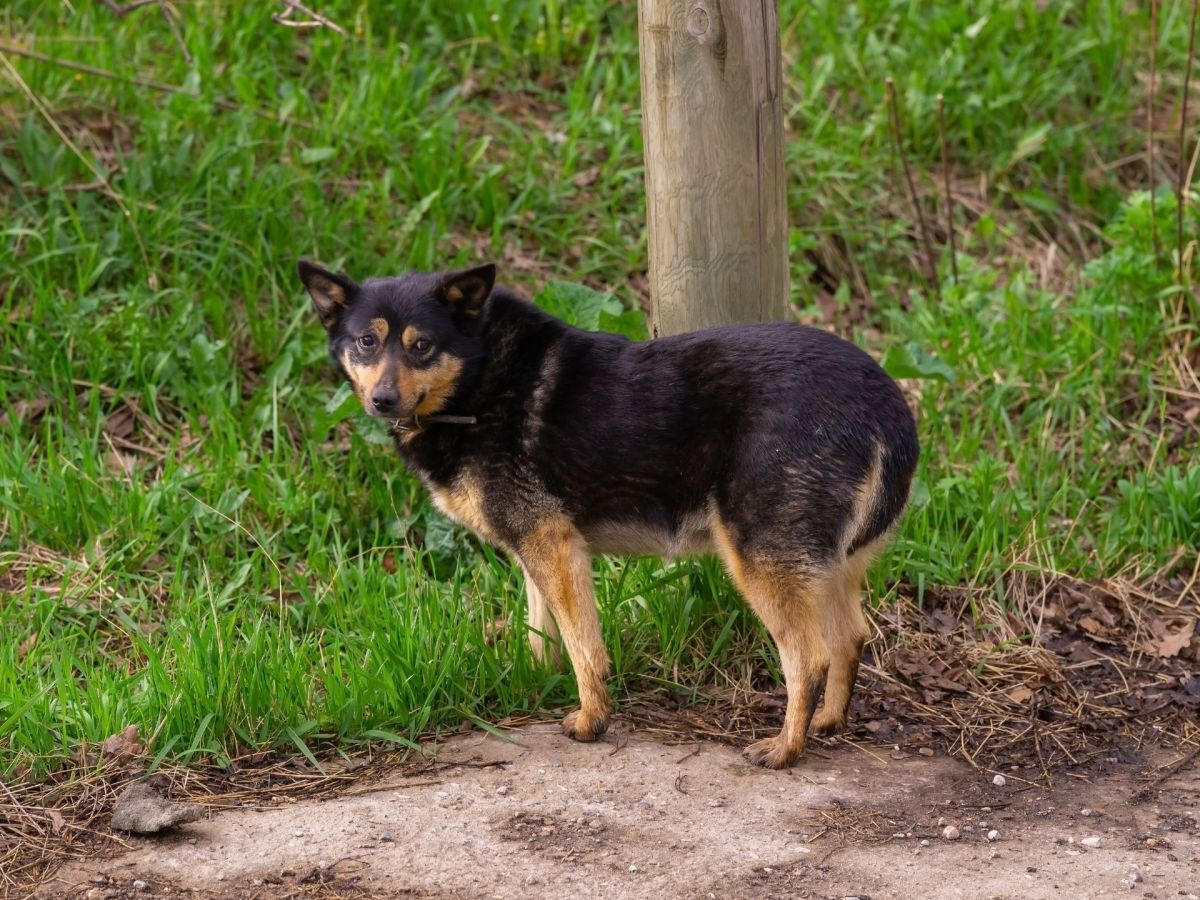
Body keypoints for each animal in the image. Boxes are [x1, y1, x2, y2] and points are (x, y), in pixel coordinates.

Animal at [300, 259, 916, 768]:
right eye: (366, 342)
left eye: (422, 345)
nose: (381, 400)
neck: (480, 379)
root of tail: (887, 405)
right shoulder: (537, 548)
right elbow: (542, 633)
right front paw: (537, 683)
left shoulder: (553, 543)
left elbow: (584, 649)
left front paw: (591, 719)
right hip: (830, 564)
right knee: (850, 636)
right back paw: (828, 722)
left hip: (761, 559)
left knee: (809, 658)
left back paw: (787, 747)